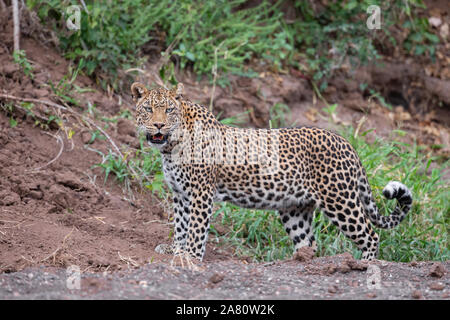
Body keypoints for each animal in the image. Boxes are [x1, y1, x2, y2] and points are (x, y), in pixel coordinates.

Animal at [130, 82, 412, 262]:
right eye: (148, 109)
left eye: (169, 110)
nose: (158, 124)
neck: (171, 147)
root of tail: (346, 142)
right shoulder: (180, 194)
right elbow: (180, 224)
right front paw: (175, 250)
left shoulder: (200, 193)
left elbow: (196, 228)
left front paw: (190, 257)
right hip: (294, 209)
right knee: (309, 243)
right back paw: (298, 263)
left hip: (340, 200)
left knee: (370, 235)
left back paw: (364, 265)